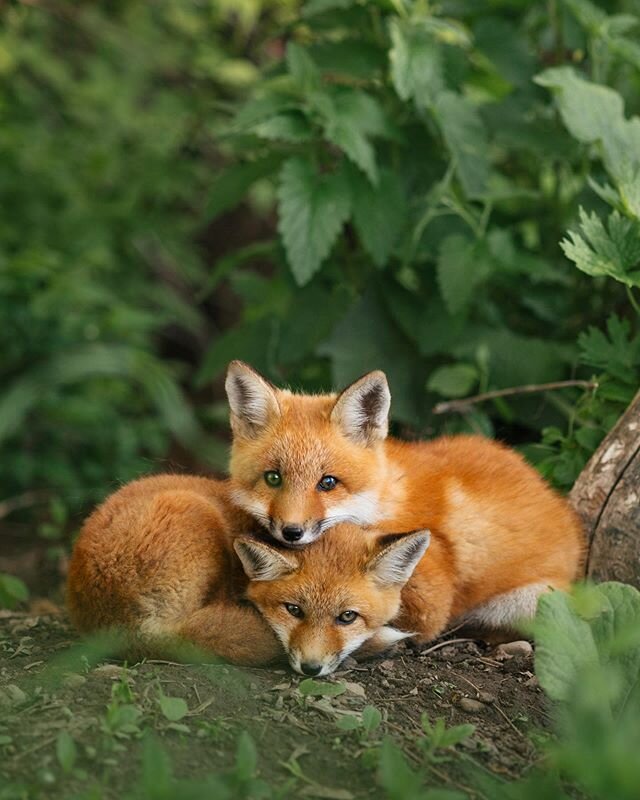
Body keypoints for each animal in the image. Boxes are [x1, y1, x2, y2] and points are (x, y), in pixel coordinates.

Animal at [225, 360, 584, 634]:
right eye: (273, 478)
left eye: (328, 482)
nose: (291, 532)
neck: (381, 504)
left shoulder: (431, 598)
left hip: (525, 603)